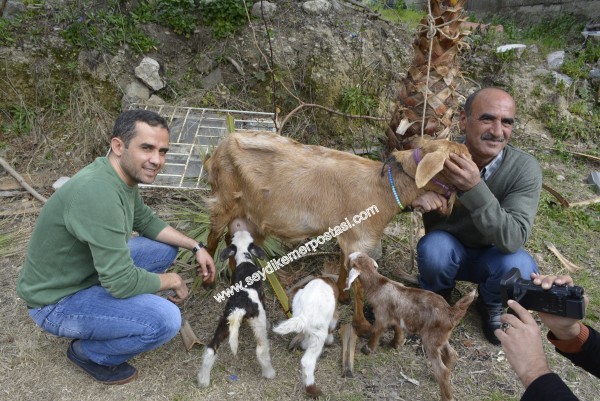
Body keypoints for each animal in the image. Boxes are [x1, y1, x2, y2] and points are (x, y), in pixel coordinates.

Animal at [204, 129, 472, 334]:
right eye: (459, 164)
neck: (384, 188)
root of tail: (219, 148)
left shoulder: (349, 236)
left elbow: (345, 266)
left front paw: (342, 295)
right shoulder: (360, 239)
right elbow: (361, 284)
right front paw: (362, 326)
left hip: (250, 215)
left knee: (232, 238)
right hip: (225, 200)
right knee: (213, 235)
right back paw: (208, 279)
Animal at [344, 252, 476, 400]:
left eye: (350, 262)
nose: (347, 256)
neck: (378, 284)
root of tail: (451, 312)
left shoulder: (382, 315)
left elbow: (377, 331)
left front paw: (367, 349)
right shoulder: (396, 317)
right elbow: (398, 329)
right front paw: (395, 344)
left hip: (430, 341)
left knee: (442, 371)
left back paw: (446, 396)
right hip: (440, 337)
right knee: (452, 354)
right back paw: (438, 376)